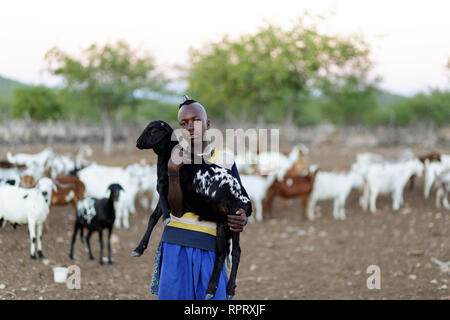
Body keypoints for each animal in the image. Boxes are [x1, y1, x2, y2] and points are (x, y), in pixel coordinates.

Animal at [130, 120, 251, 300]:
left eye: (152, 130)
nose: (138, 142)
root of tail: (246, 202)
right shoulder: (166, 193)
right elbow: (153, 217)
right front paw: (138, 248)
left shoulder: (163, 186)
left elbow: (161, 211)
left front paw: (166, 218)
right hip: (228, 222)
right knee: (233, 253)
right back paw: (228, 289)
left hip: (229, 219)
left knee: (225, 254)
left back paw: (211, 289)